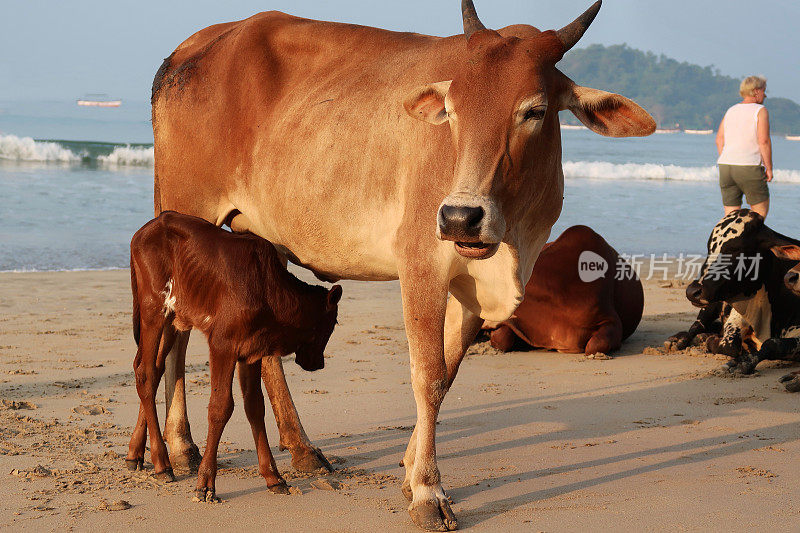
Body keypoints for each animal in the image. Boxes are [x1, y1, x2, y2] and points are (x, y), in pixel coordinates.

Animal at [126, 210, 340, 500]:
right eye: (332, 323)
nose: (318, 363)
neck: (270, 292)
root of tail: (146, 229)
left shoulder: (252, 352)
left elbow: (255, 407)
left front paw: (273, 477)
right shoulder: (223, 345)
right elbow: (220, 407)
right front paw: (205, 482)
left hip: (174, 318)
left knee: (154, 368)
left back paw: (136, 454)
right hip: (153, 310)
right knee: (146, 373)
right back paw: (162, 464)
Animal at [680, 209, 800, 390]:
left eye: (735, 249)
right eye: (709, 247)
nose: (693, 291)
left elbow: (772, 344)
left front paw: (742, 363)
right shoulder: (736, 318)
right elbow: (729, 346)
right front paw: (712, 342)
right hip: (710, 306)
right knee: (696, 326)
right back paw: (678, 341)